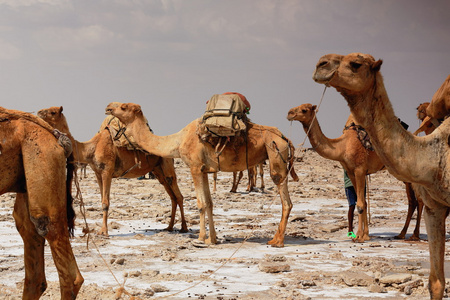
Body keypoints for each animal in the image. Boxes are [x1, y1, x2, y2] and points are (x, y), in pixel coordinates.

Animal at [37, 106, 187, 236]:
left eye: (53, 112)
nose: (38, 112)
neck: (91, 148)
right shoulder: (98, 174)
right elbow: (102, 200)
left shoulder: (107, 171)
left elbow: (105, 203)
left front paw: (103, 231)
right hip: (157, 170)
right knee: (172, 196)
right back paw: (169, 227)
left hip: (167, 163)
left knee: (178, 194)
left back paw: (183, 228)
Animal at [103, 101, 298, 246]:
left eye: (123, 107)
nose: (108, 106)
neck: (177, 141)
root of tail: (284, 137)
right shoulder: (204, 170)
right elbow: (210, 203)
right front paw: (213, 239)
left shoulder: (195, 168)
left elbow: (201, 203)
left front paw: (200, 238)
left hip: (275, 153)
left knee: (285, 200)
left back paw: (277, 241)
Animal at [312, 52, 450, 298]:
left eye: (355, 64)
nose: (321, 64)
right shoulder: (354, 171)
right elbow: (361, 202)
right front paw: (362, 235)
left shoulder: (358, 169)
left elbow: (360, 204)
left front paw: (361, 236)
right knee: (415, 202)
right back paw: (405, 234)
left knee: (415, 202)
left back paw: (411, 235)